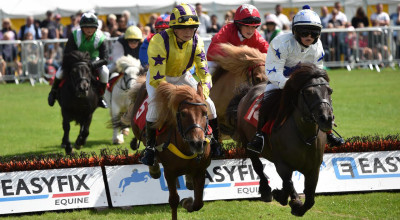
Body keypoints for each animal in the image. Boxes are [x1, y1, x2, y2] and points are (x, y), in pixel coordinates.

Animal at [122, 81, 211, 220]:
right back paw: (153, 167)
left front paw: (187, 202)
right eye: (183, 114)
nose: (197, 143)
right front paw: (184, 202)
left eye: (204, 112)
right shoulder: (169, 172)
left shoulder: (200, 171)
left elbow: (198, 203)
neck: (185, 148)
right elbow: (174, 200)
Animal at [228, 63, 334, 217]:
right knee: (258, 166)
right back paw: (266, 190)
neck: (304, 136)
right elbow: (288, 183)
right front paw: (283, 197)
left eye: (329, 91)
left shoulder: (314, 169)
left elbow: (309, 198)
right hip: (248, 144)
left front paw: (296, 205)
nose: (326, 119)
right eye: (308, 93)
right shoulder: (282, 164)